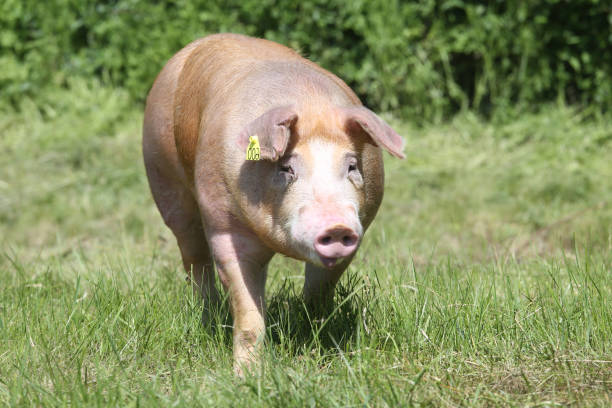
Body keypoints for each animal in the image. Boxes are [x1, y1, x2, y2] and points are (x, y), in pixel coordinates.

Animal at [141, 33, 404, 374]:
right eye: (286, 167)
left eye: (352, 166)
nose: (335, 225)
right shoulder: (226, 229)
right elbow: (248, 315)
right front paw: (246, 375)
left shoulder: (361, 227)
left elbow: (320, 290)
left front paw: (313, 335)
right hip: (163, 176)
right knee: (194, 258)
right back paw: (208, 318)